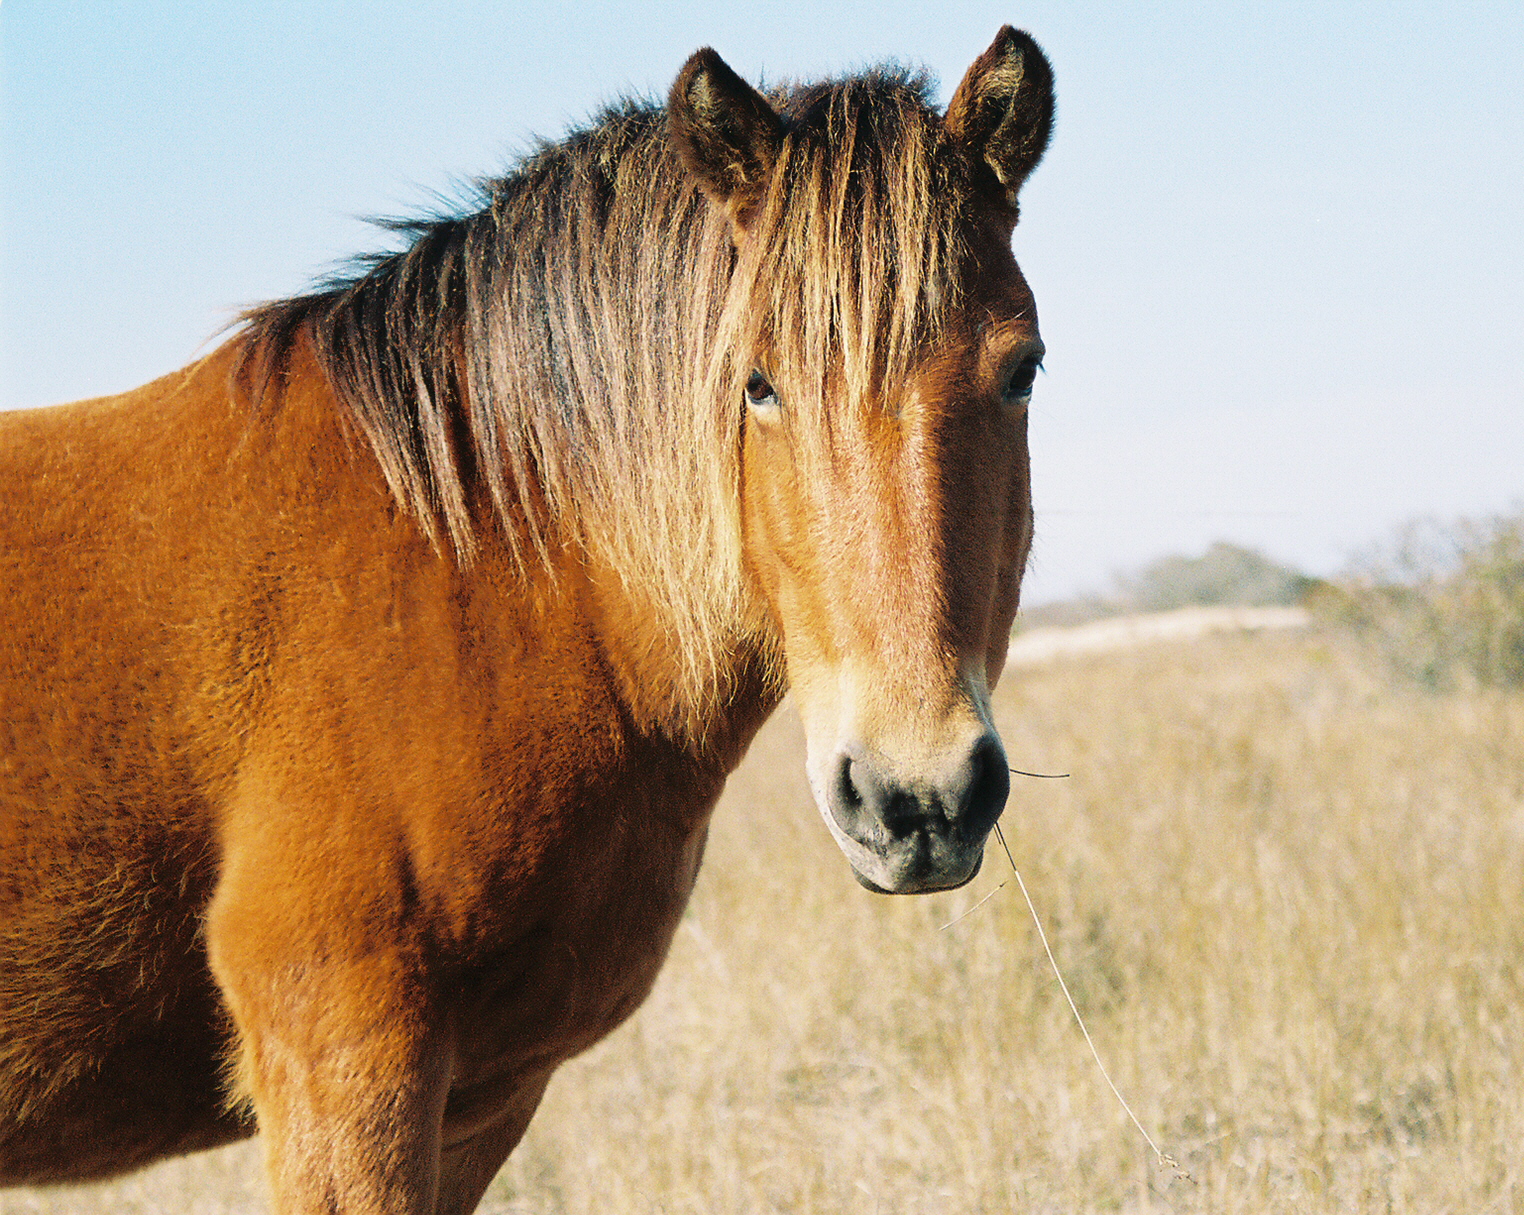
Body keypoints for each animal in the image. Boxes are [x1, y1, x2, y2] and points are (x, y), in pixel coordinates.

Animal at [0, 30, 1054, 1213]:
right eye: (757, 385)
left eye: (1022, 371)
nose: (919, 800)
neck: (477, 562)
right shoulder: (339, 1059)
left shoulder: (482, 1098)